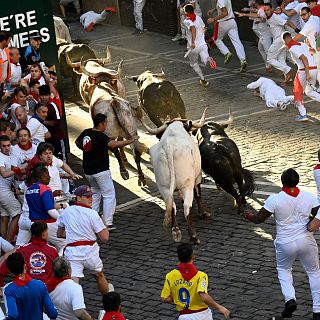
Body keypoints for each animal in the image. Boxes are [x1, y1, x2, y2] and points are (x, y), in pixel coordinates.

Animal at [67, 48, 148, 186]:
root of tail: (113, 102)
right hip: (131, 129)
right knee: (135, 151)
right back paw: (141, 177)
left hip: (109, 132)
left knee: (114, 147)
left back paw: (123, 172)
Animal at [139, 109, 208, 244]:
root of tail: (168, 146)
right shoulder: (197, 176)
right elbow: (198, 194)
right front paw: (203, 213)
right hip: (187, 184)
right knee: (187, 207)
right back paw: (193, 236)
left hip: (163, 187)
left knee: (171, 206)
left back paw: (175, 230)